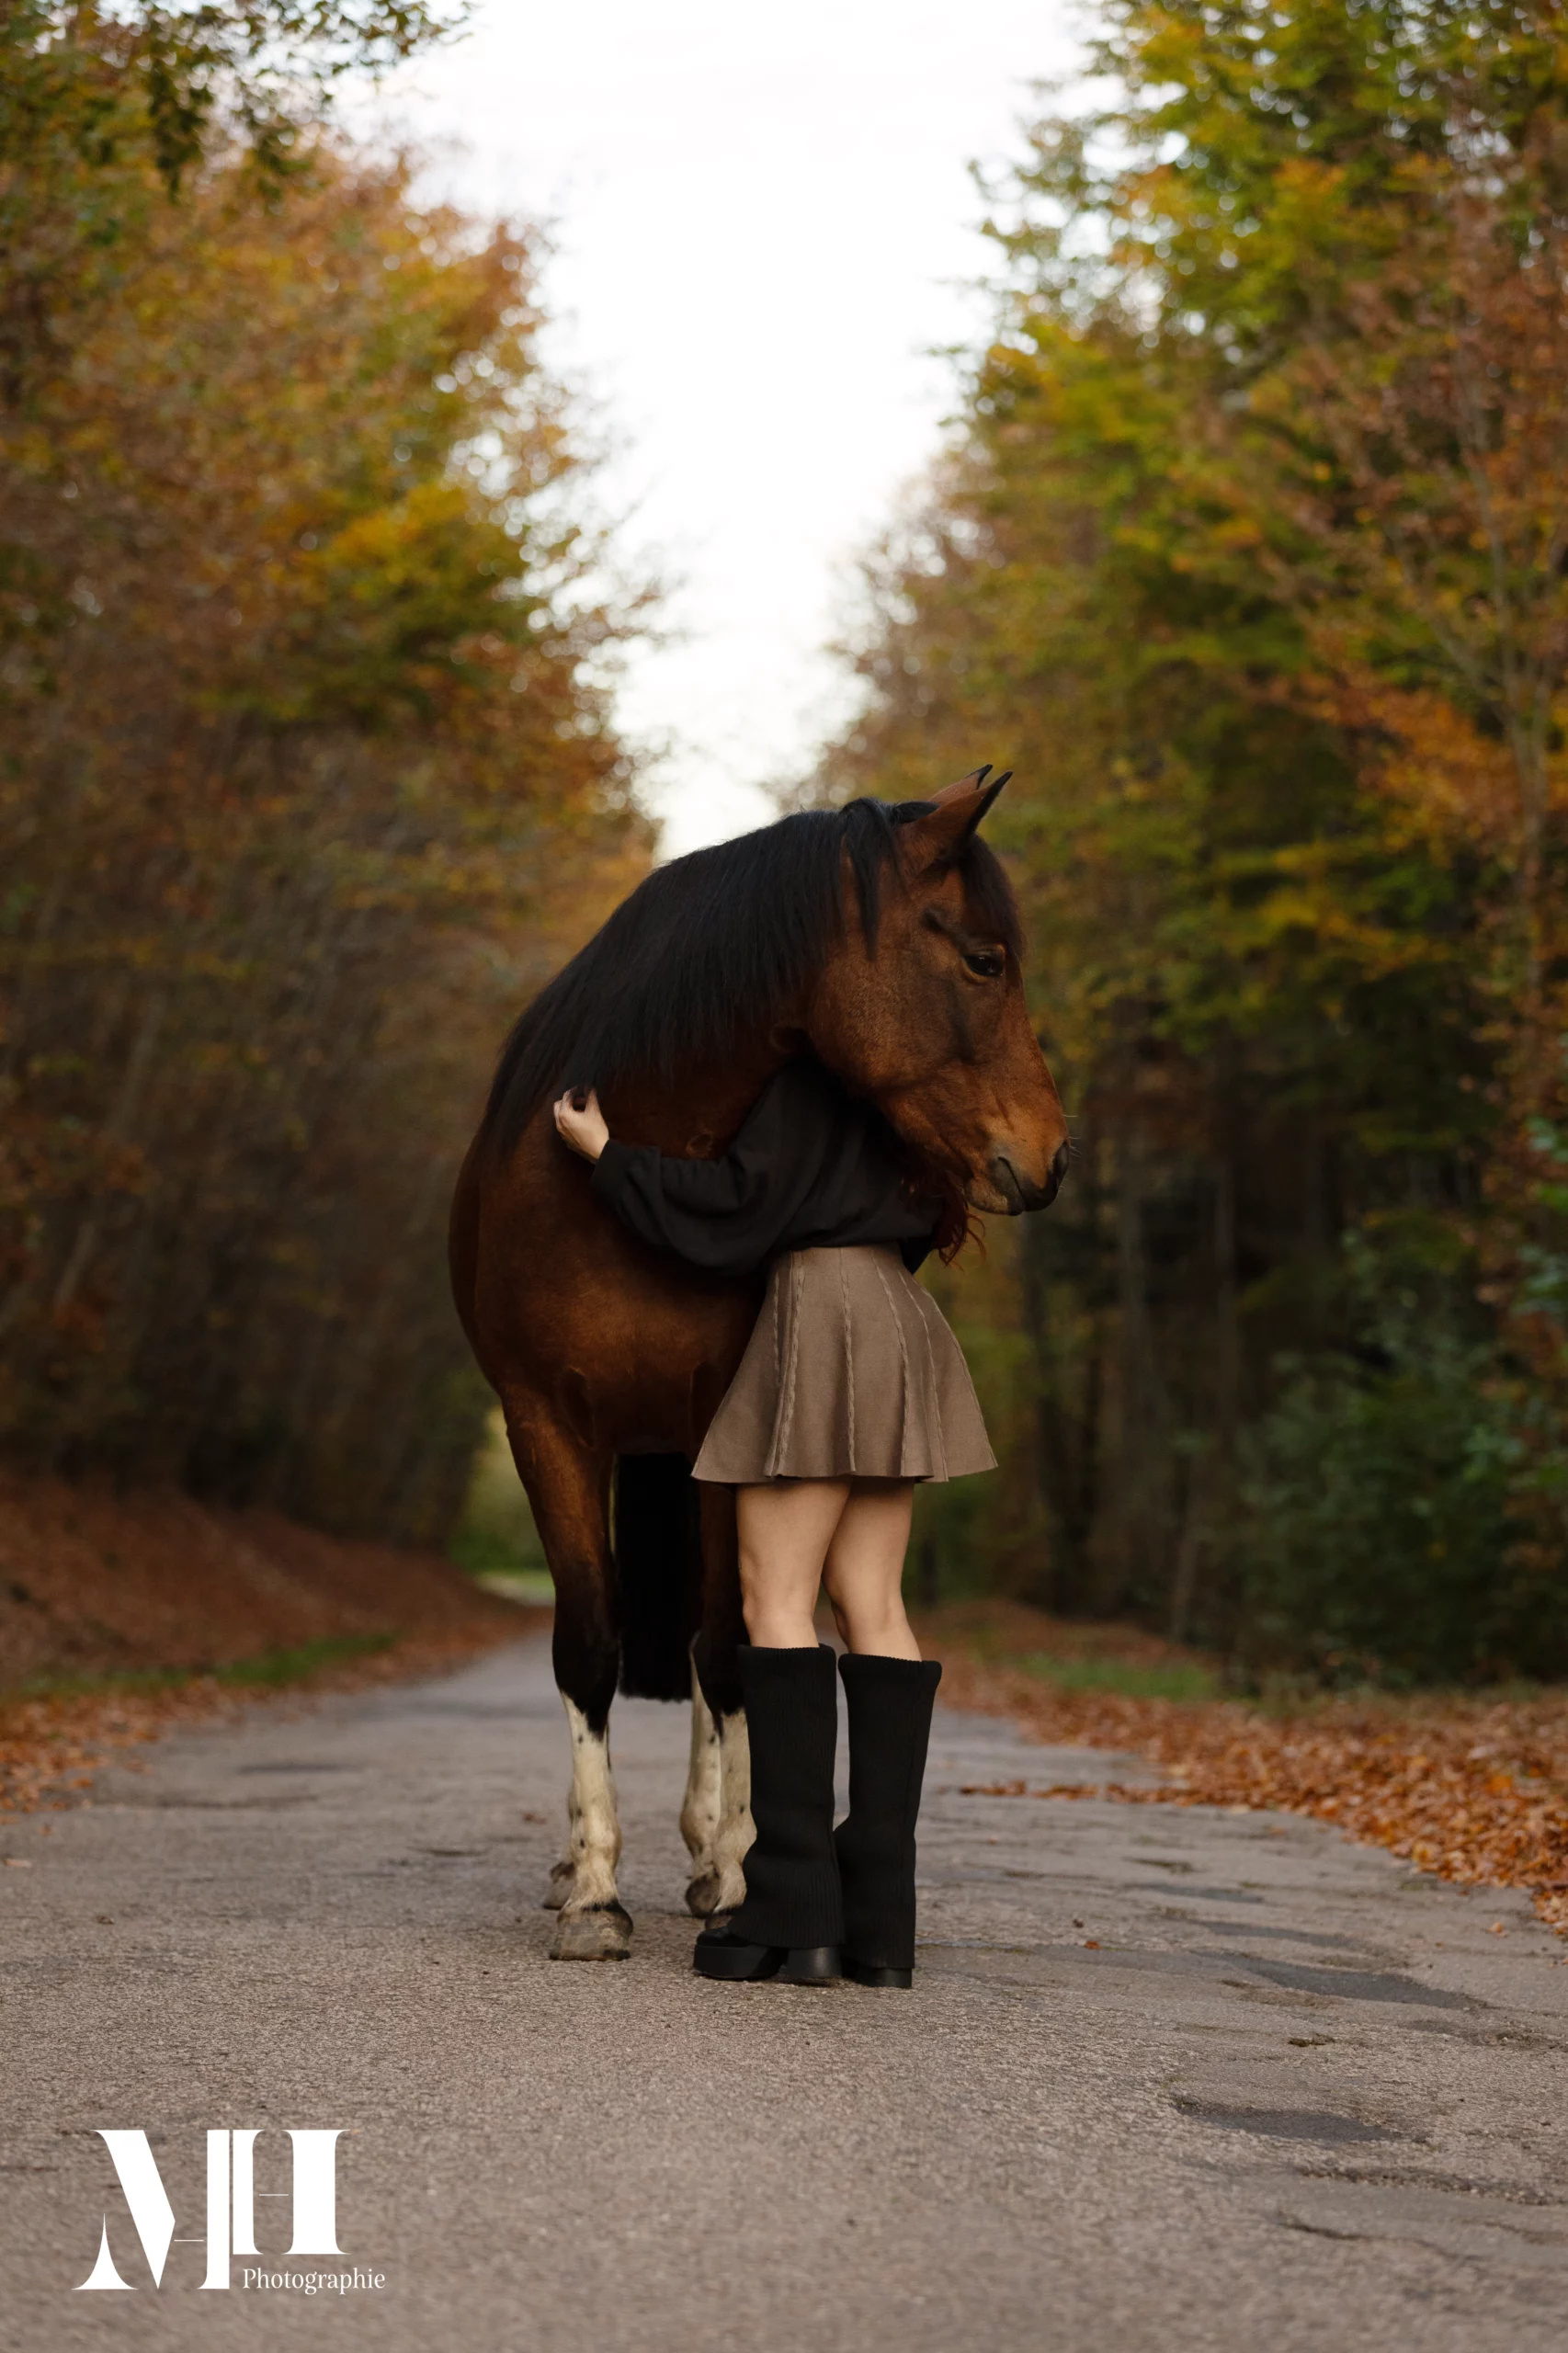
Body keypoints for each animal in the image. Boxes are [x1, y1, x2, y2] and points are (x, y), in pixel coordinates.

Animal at [448, 767, 1070, 1959]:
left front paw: (735, 1871)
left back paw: (711, 1849)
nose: (1053, 1155)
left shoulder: (720, 1427)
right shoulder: (543, 1421)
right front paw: (593, 1895)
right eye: (983, 960)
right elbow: (585, 1642)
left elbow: (730, 1647)